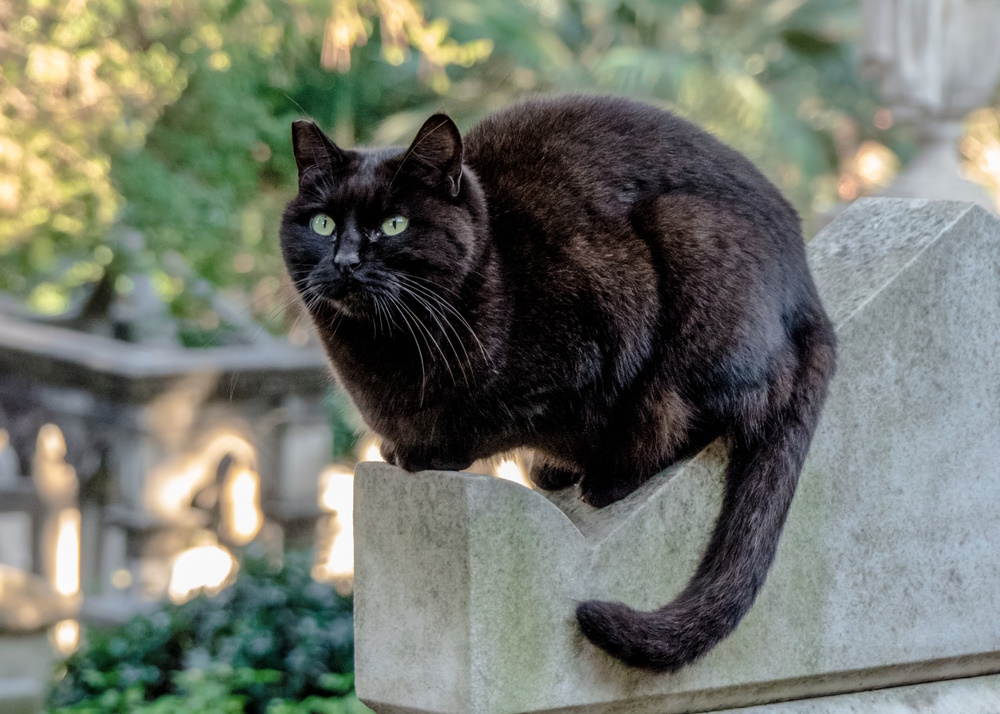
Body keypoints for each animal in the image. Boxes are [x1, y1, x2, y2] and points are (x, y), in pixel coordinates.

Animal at [282, 93, 836, 668]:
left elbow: (494, 421)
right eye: (322, 224)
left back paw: (606, 477)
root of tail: (808, 290)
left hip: (688, 253)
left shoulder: (593, 337)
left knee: (700, 413)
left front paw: (429, 453)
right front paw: (400, 448)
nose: (345, 261)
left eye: (393, 225)